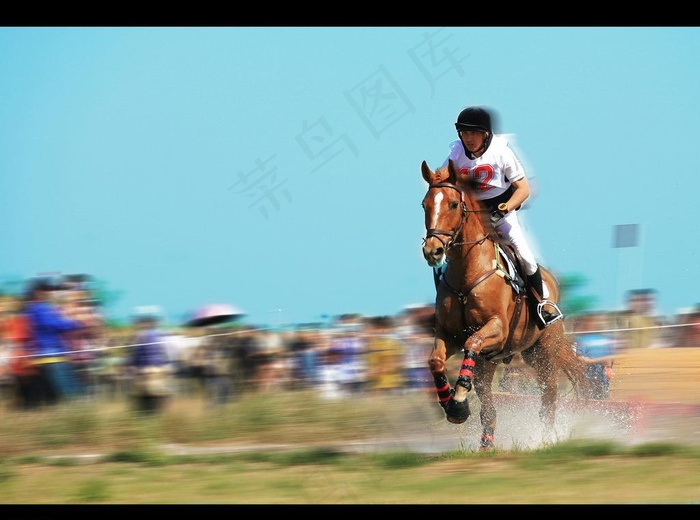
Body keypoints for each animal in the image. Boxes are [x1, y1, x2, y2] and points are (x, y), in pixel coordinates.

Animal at [422, 160, 592, 448]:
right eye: (424, 204)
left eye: (453, 204)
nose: (432, 251)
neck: (468, 273)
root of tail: (552, 280)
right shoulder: (449, 335)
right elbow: (435, 360)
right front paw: (453, 405)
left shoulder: (497, 330)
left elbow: (473, 342)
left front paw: (458, 400)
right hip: (500, 360)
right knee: (488, 405)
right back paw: (486, 442)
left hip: (544, 354)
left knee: (548, 397)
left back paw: (546, 440)